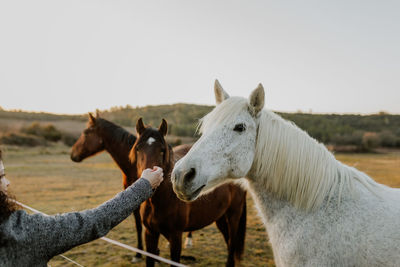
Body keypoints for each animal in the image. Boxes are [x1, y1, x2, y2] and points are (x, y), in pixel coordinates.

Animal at [130, 119, 247, 267]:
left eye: (162, 150)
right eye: (138, 148)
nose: (150, 177)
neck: (162, 201)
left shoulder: (175, 236)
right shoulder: (150, 234)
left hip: (233, 215)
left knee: (232, 242)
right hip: (220, 217)